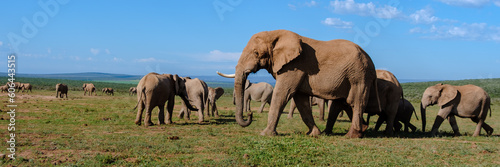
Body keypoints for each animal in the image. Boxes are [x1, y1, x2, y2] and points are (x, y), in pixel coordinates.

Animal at [217, 29, 376, 138]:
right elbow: (301, 100)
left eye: (256, 53)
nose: (249, 115)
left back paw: (352, 135)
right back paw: (361, 129)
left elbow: (282, 94)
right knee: (346, 103)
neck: (274, 34)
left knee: (356, 102)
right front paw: (314, 134)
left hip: (359, 75)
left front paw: (265, 134)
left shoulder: (295, 65)